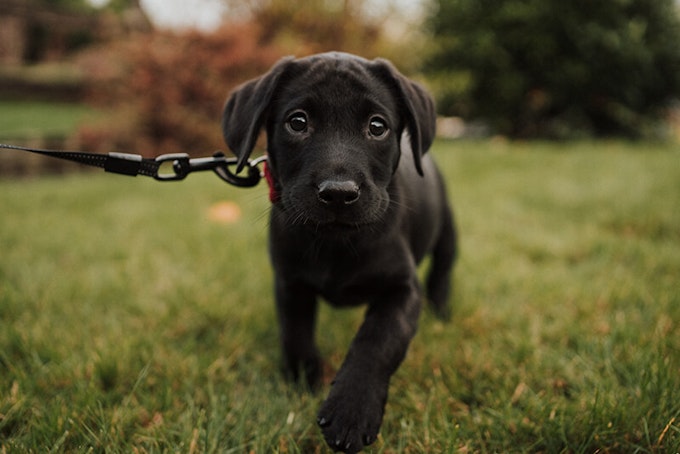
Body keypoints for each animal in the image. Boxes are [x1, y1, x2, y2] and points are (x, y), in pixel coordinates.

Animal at [223, 52, 456, 450]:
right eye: (297, 122)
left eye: (377, 126)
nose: (338, 193)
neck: (335, 243)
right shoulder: (290, 283)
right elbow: (296, 334)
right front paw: (302, 383)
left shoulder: (403, 289)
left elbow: (376, 341)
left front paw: (351, 410)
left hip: (448, 234)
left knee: (442, 271)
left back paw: (441, 313)